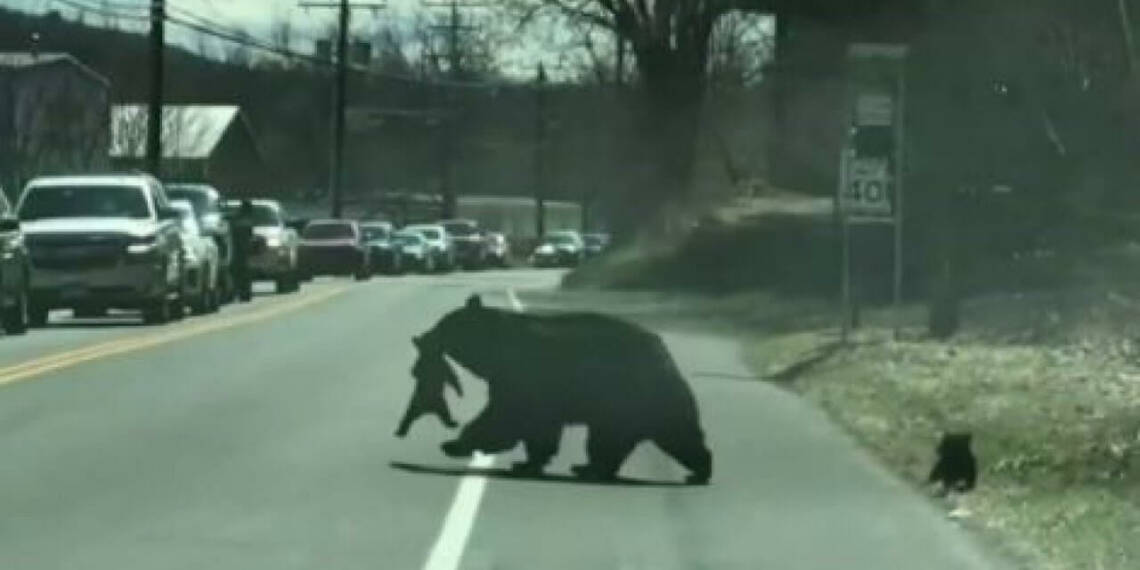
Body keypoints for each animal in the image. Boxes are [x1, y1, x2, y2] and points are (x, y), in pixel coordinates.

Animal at [400, 294, 713, 485]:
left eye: (442, 325)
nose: (422, 336)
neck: (495, 352)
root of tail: (665, 354)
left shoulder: (523, 376)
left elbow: (505, 416)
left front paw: (454, 443)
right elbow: (537, 429)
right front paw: (527, 463)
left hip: (635, 394)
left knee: (668, 433)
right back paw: (589, 468)